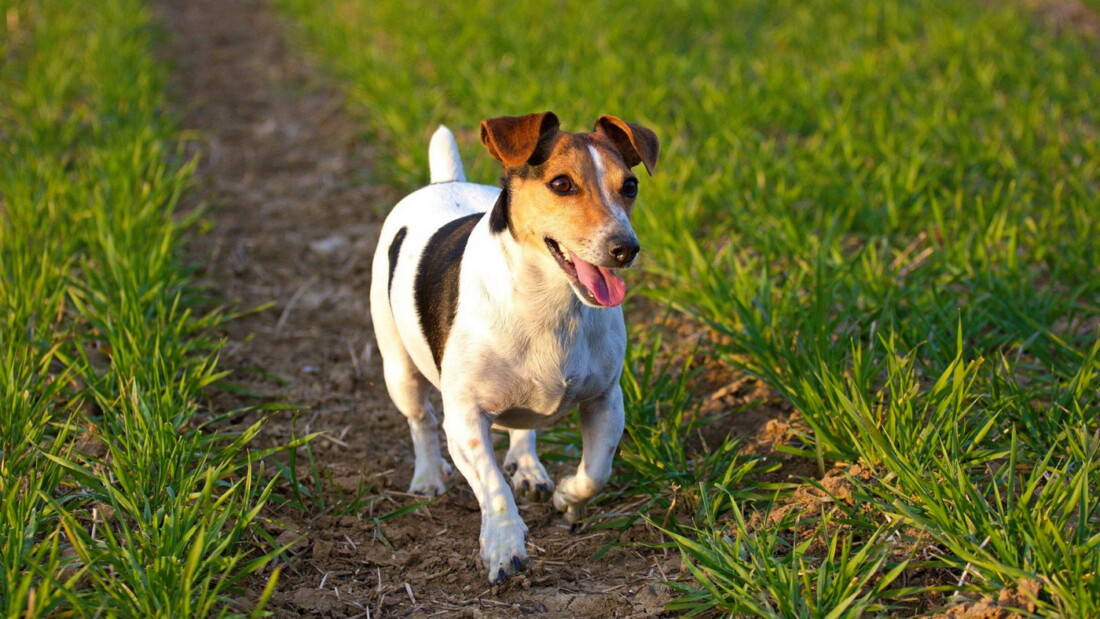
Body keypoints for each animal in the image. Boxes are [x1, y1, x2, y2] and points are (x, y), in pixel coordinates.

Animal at [369, 112, 660, 584]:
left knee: (523, 426)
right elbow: (492, 486)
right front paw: (504, 546)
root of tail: (444, 181)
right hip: (399, 368)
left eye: (630, 185)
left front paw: (567, 498)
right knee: (421, 420)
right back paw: (428, 477)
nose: (625, 248)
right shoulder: (465, 419)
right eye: (561, 184)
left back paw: (528, 468)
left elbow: (596, 471)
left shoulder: (605, 400)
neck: (550, 303)